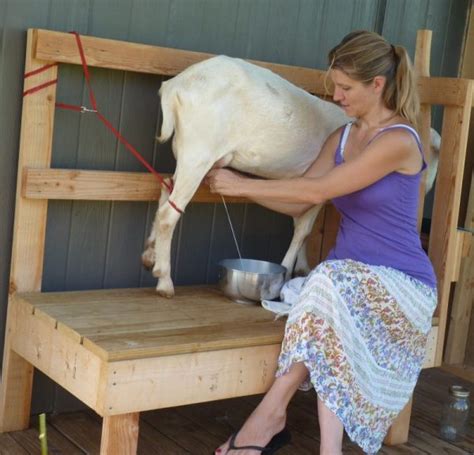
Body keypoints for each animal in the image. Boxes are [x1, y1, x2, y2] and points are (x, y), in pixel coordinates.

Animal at [142, 55, 440, 298]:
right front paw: (284, 272)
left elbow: (301, 224)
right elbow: (303, 229)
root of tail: (176, 86)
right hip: (199, 151)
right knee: (169, 215)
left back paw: (150, 255)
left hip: (187, 152)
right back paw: (165, 281)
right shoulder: (320, 186)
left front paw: (301, 267)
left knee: (165, 191)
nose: (423, 187)